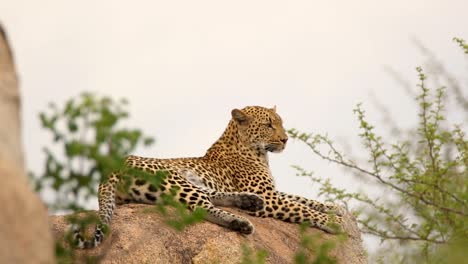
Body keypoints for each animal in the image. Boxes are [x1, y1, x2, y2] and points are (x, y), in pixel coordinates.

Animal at [73, 106, 344, 249]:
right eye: (268, 125)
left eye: (280, 123)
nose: (285, 139)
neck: (256, 151)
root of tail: (109, 170)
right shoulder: (269, 196)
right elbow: (300, 207)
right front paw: (334, 222)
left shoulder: (271, 192)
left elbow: (302, 199)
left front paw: (336, 208)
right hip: (173, 179)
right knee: (202, 207)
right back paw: (241, 222)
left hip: (186, 182)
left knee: (211, 197)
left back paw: (248, 202)